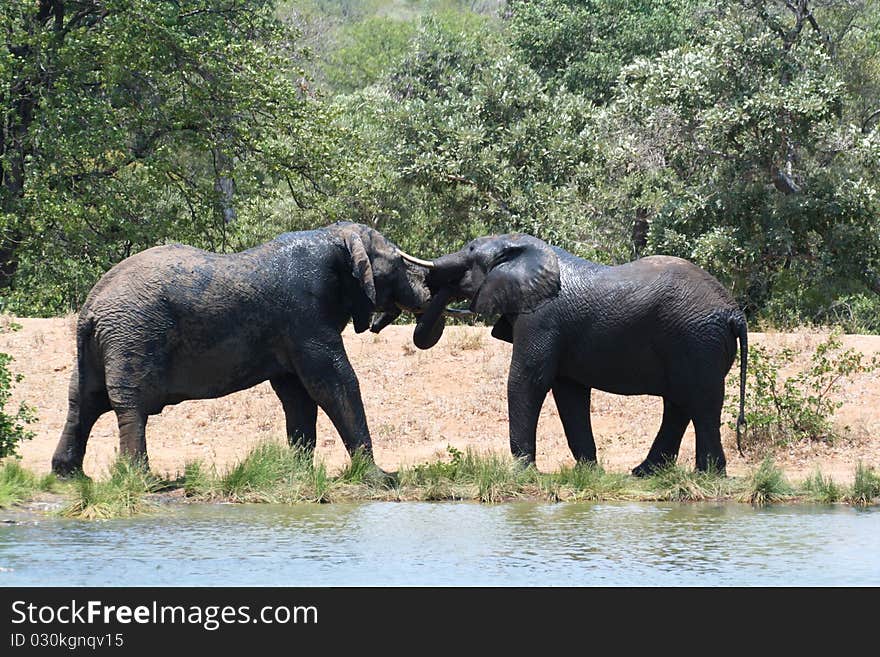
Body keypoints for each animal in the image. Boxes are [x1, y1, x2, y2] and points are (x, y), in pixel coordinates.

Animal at [51, 223, 434, 474]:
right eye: (398, 263)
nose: (430, 296)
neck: (332, 237)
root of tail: (91, 308)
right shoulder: (304, 315)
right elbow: (333, 382)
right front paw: (377, 477)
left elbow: (297, 394)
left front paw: (298, 474)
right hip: (133, 335)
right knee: (128, 404)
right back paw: (140, 479)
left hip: (101, 345)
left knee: (82, 400)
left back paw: (68, 475)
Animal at [416, 233, 744, 474]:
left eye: (470, 251)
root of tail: (733, 312)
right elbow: (569, 392)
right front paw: (588, 472)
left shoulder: (542, 318)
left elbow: (528, 380)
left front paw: (522, 472)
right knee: (680, 403)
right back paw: (645, 473)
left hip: (697, 339)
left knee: (701, 402)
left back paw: (707, 475)